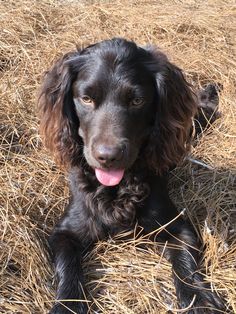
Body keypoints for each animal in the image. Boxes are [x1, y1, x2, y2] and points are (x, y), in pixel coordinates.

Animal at [38, 38, 225, 312]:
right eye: (86, 98)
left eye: (137, 101)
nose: (108, 156)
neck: (117, 189)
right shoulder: (65, 232)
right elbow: (68, 267)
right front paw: (67, 305)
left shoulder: (178, 227)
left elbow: (186, 268)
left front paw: (199, 299)